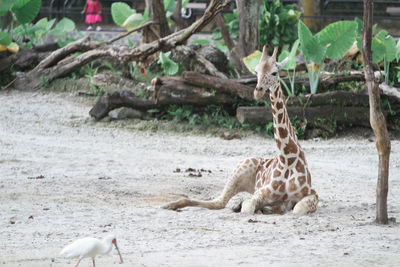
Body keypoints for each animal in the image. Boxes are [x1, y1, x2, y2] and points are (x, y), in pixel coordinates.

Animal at [162, 45, 318, 216]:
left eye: (274, 72)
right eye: (256, 71)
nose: (258, 91)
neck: (288, 157)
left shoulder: (312, 194)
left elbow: (297, 209)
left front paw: (264, 208)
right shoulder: (260, 193)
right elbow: (249, 208)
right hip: (238, 171)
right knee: (220, 202)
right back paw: (169, 205)